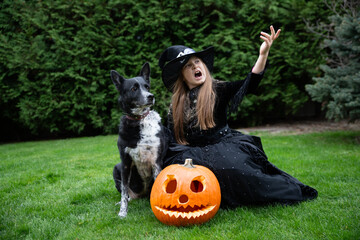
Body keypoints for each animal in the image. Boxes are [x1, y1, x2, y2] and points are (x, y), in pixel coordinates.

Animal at [110, 62, 168, 218]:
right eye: (134, 88)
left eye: (147, 86)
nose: (151, 96)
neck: (139, 121)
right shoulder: (124, 163)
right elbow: (124, 191)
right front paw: (122, 212)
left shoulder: (156, 161)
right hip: (116, 168)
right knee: (128, 195)